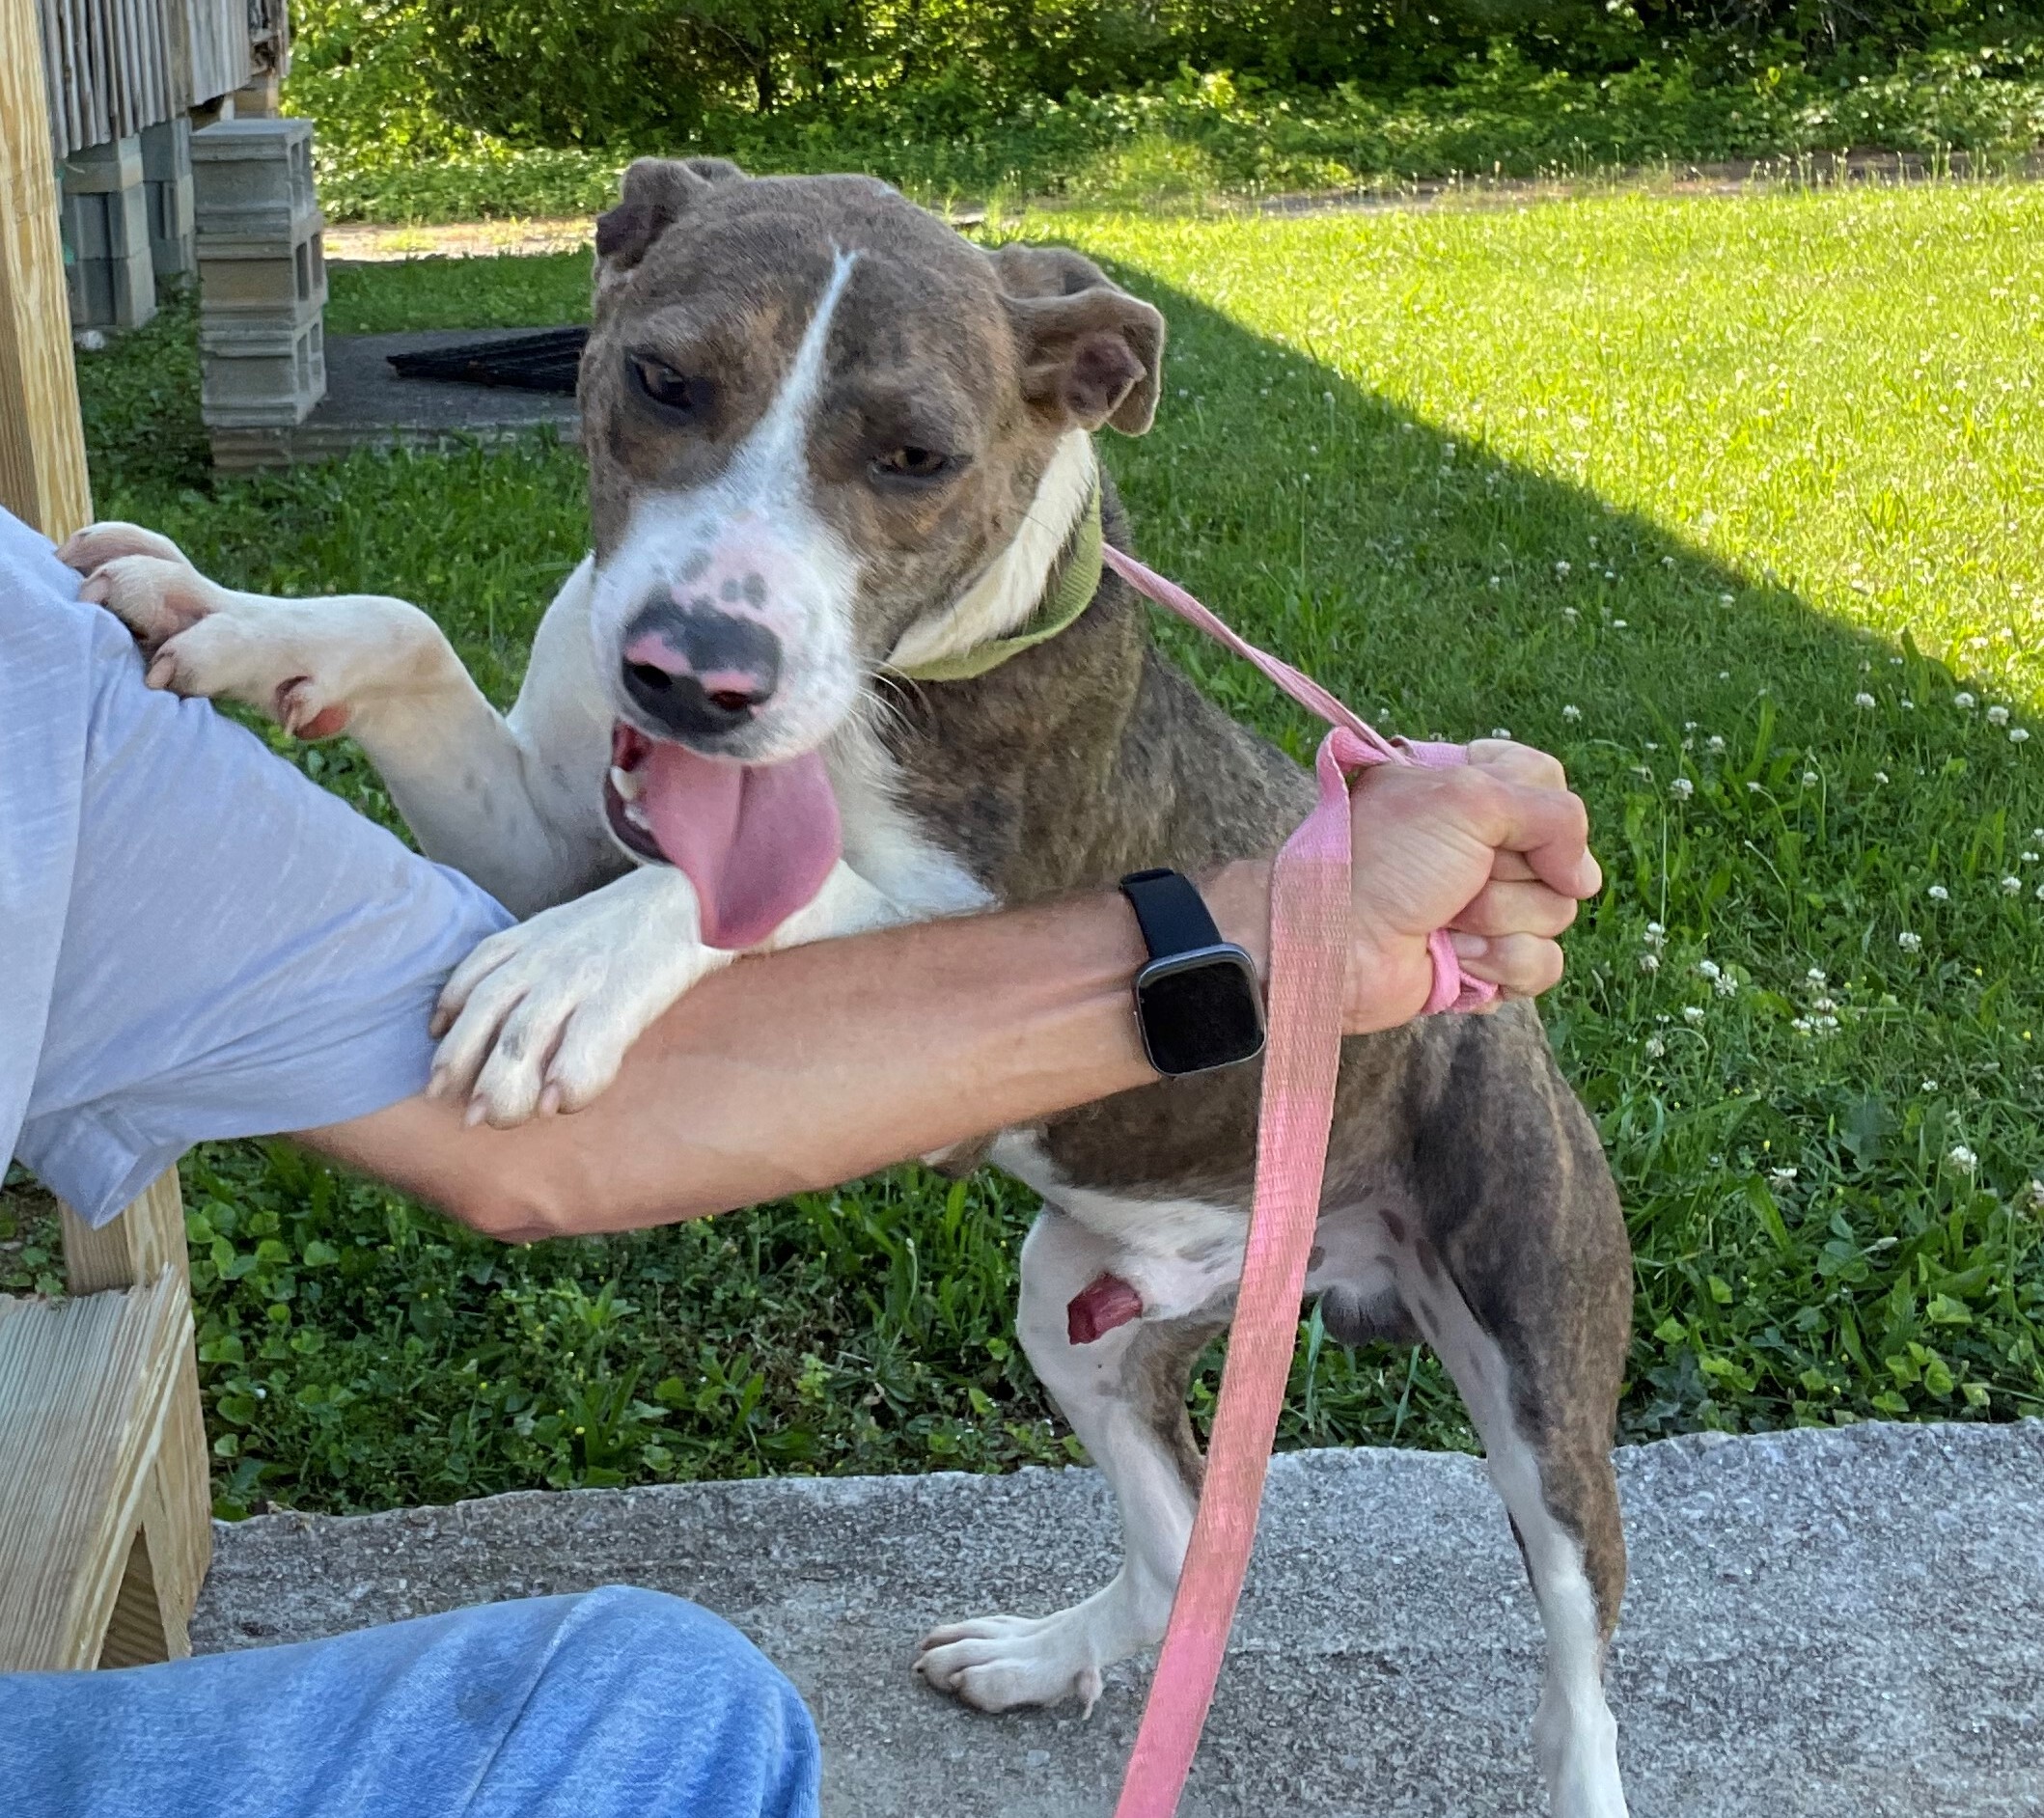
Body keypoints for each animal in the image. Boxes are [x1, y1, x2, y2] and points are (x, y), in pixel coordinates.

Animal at [75, 159, 1626, 1813]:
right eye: (661, 379)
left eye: (915, 456)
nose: (696, 672)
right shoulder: (549, 834)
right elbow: (407, 629)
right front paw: (233, 619)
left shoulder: (968, 904)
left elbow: (763, 887)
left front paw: (573, 970)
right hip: (1076, 1309)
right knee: (1182, 1538)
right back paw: (1041, 1657)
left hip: (1535, 1368)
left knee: (1577, 1641)